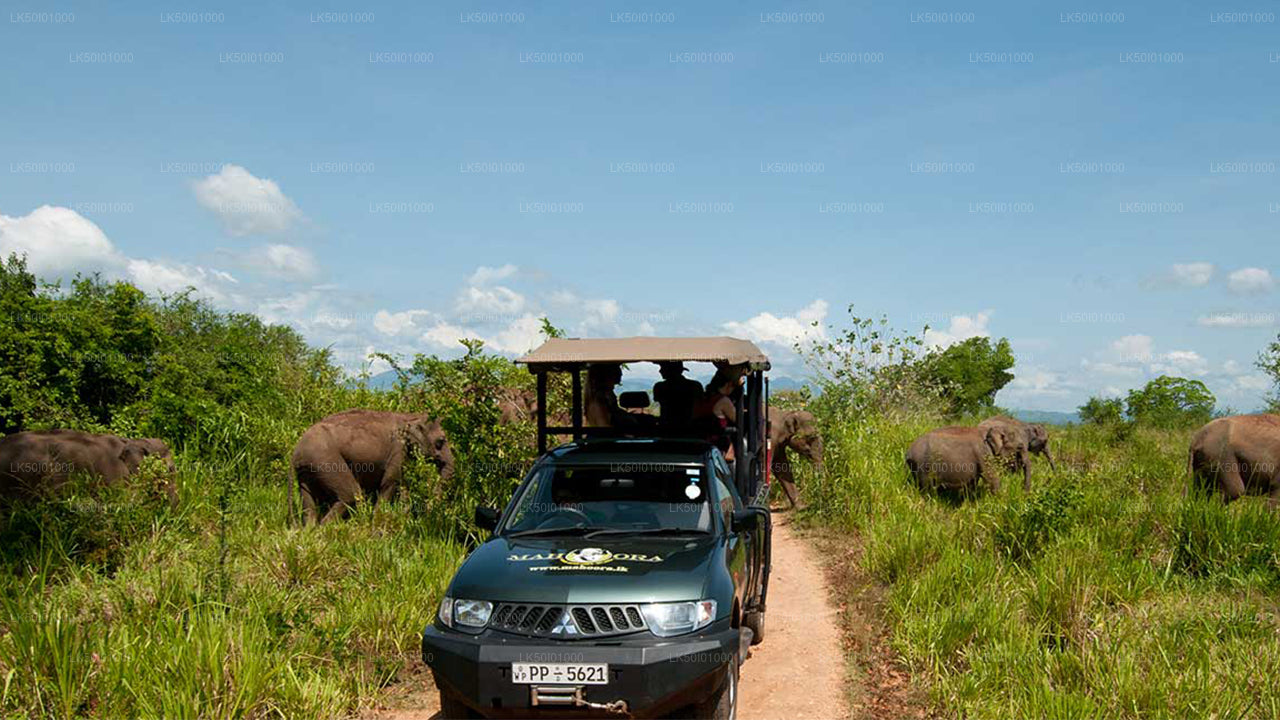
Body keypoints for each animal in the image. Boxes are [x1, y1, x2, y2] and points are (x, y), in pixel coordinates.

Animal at [290, 409, 455, 520]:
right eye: (440, 441)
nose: (428, 511)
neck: (410, 415)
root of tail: (295, 452)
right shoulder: (398, 451)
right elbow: (389, 482)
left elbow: (403, 486)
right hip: (325, 460)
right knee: (351, 495)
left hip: (308, 470)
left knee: (309, 505)